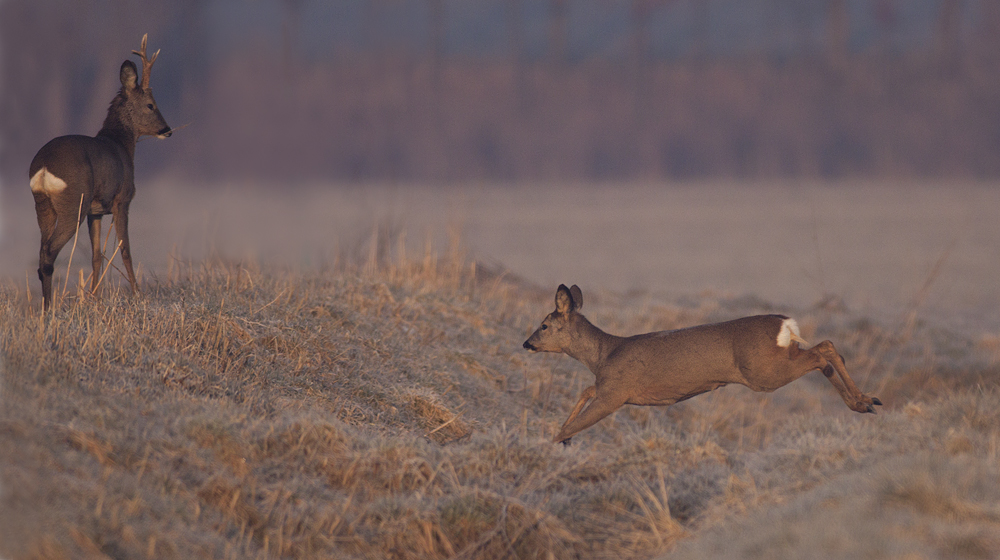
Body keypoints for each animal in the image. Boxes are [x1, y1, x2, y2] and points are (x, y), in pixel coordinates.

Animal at [29, 34, 172, 310]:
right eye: (151, 105)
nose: (167, 130)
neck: (120, 144)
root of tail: (43, 167)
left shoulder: (95, 211)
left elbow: (97, 255)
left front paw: (94, 297)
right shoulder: (122, 199)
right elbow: (125, 249)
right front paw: (137, 294)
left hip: (43, 205)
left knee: (41, 253)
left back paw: (46, 307)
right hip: (73, 203)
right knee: (49, 253)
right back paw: (49, 308)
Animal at [524, 286, 884, 444]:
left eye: (543, 324)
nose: (527, 343)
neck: (603, 354)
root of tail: (785, 324)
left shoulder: (616, 392)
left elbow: (580, 418)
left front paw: (555, 442)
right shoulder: (607, 387)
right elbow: (585, 391)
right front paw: (561, 438)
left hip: (762, 372)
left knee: (822, 354)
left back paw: (863, 402)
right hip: (780, 358)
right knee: (826, 348)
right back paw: (865, 402)